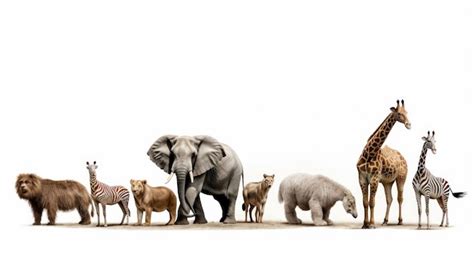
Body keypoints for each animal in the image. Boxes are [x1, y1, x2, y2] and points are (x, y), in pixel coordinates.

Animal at [356, 99, 412, 227]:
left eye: (407, 112)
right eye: (399, 114)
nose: (409, 124)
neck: (369, 154)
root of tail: (403, 158)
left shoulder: (374, 178)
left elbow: (372, 202)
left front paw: (371, 224)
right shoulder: (362, 178)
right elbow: (365, 202)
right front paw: (365, 224)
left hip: (401, 178)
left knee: (400, 198)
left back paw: (400, 221)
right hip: (388, 182)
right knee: (389, 199)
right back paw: (385, 221)